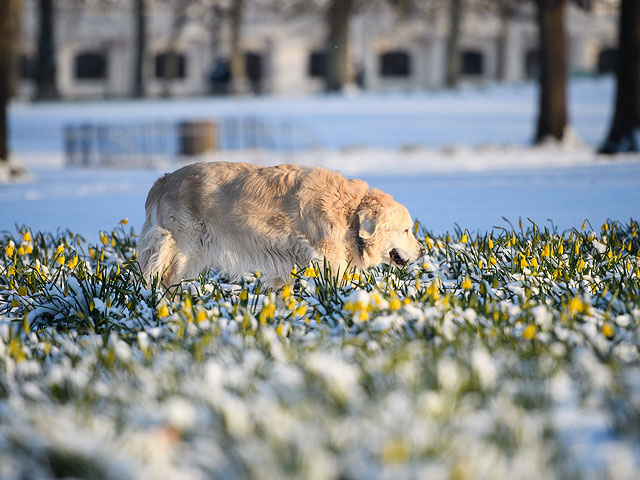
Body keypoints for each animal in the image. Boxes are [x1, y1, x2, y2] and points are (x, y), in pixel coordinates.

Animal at [140, 163, 424, 286]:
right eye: (406, 230)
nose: (423, 251)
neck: (349, 213)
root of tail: (162, 180)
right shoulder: (328, 259)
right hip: (185, 247)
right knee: (165, 280)